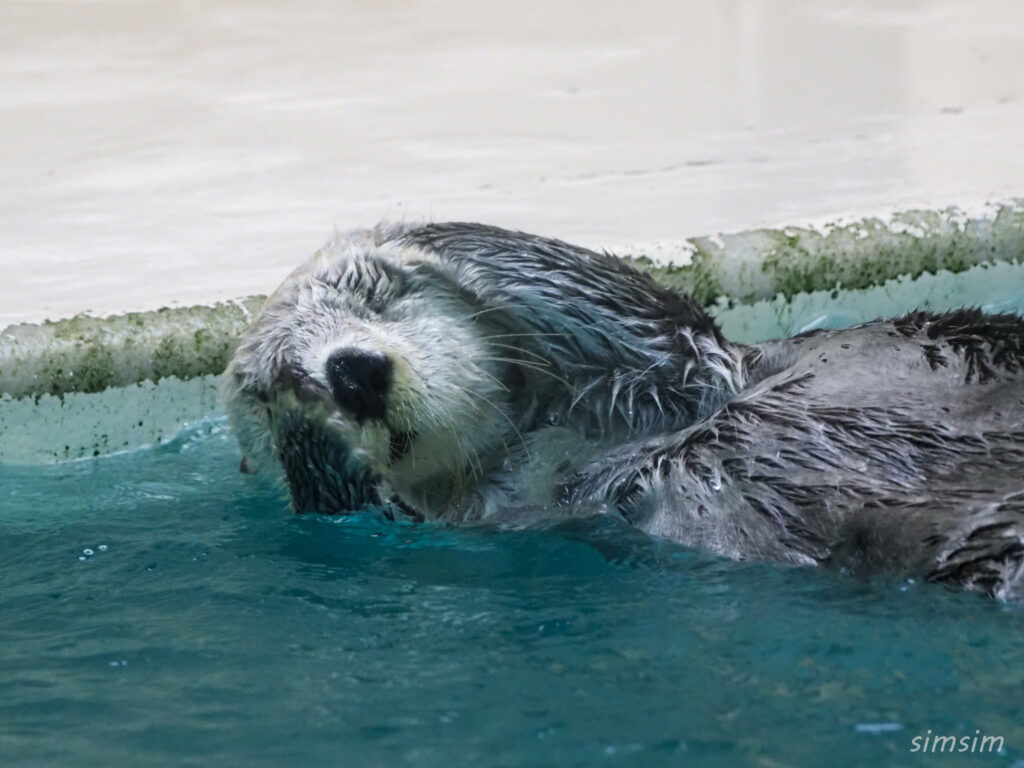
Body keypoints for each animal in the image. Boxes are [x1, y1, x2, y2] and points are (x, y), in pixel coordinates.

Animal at [222, 222, 1024, 602]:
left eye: (375, 297)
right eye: (288, 378)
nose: (350, 372)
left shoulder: (689, 366)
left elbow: (607, 295)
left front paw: (416, 248)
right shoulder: (508, 511)